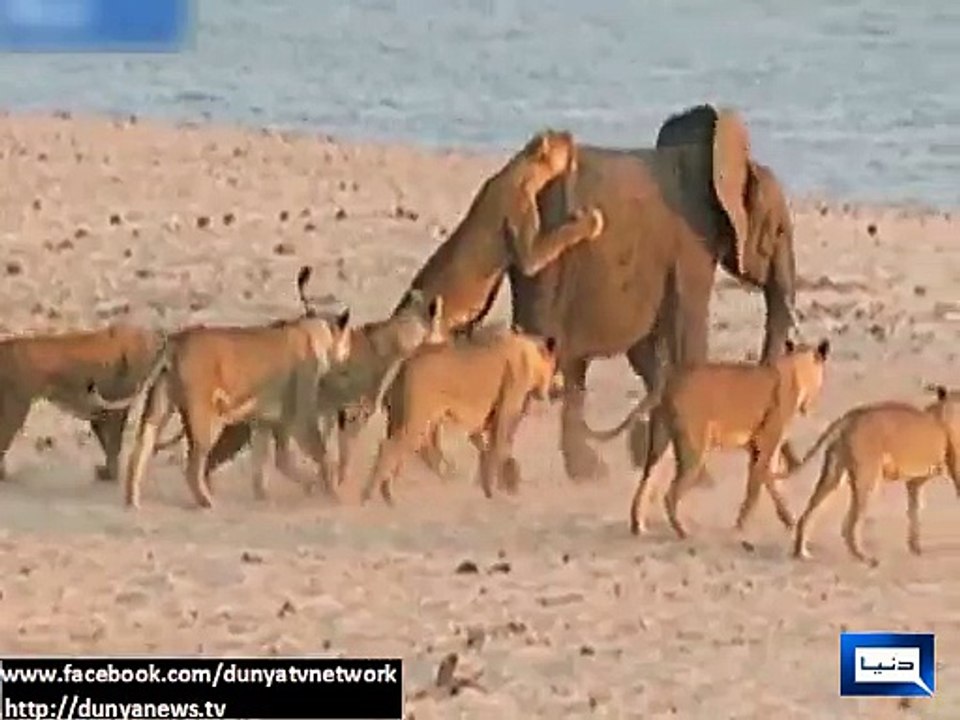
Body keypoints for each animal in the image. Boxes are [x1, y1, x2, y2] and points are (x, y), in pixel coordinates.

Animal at [0, 321, 164, 483]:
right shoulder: (112, 409)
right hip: (17, 406)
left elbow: (109, 442)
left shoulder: (106, 410)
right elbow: (112, 442)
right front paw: (110, 473)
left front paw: (109, 472)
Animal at [360, 326, 561, 505]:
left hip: (401, 419)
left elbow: (487, 450)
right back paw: (375, 496)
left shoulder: (482, 423)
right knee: (389, 449)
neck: (529, 353)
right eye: (555, 367)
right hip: (415, 421)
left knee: (404, 454)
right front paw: (498, 489)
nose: (555, 390)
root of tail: (405, 363)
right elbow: (500, 448)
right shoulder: (506, 411)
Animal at [504, 103, 800, 481]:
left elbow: (649, 354)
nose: (789, 462)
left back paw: (585, 472)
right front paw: (703, 478)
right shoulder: (691, 246)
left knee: (570, 366)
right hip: (547, 261)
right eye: (778, 231)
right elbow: (686, 336)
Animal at [584, 338, 831, 539]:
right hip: (695, 447)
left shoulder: (759, 447)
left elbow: (769, 482)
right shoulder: (765, 443)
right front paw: (742, 525)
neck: (795, 368)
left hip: (661, 443)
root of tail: (670, 380)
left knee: (647, 480)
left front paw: (785, 519)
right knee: (670, 494)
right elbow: (759, 484)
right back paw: (683, 531)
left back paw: (638, 526)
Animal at [779, 384, 960, 565]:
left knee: (810, 513)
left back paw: (801, 553)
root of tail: (851, 417)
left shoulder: (914, 482)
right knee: (850, 524)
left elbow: (914, 511)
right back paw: (866, 558)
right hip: (867, 476)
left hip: (834, 475)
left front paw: (915, 548)